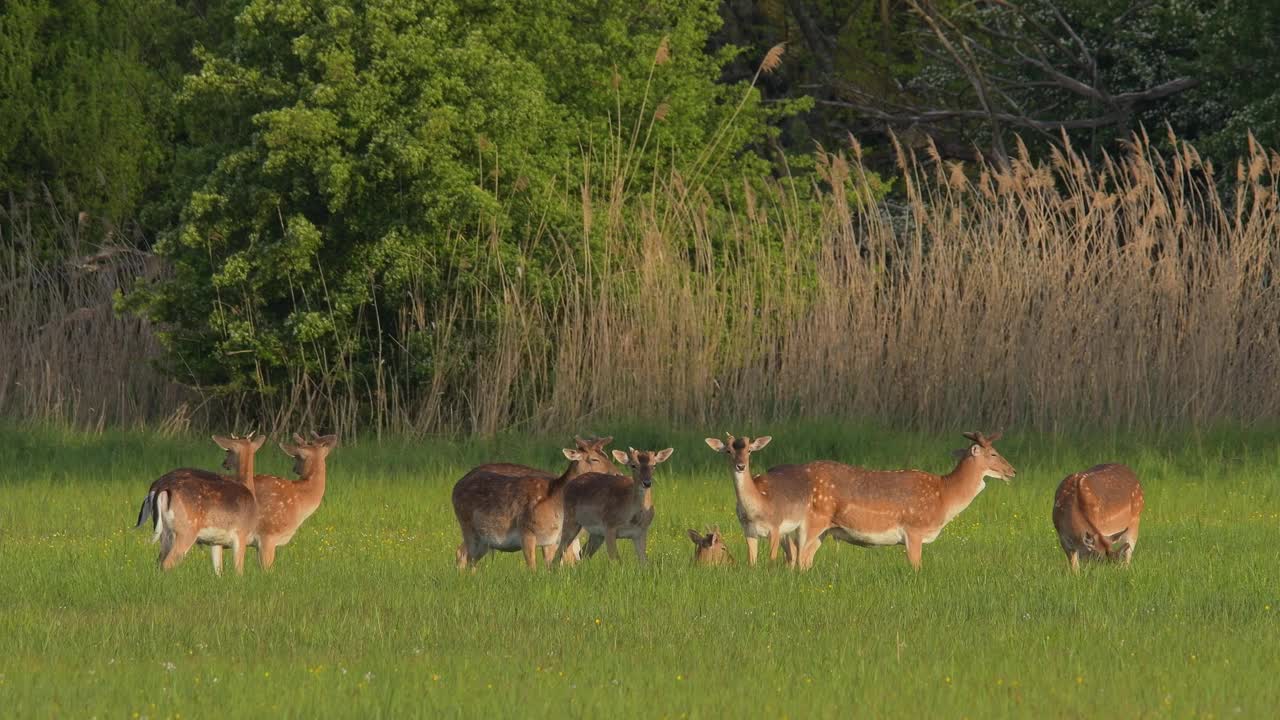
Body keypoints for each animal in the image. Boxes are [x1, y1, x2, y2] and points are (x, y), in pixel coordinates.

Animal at [133, 430, 264, 571]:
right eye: (228, 450)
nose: (224, 463)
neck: (250, 492)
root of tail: (159, 488)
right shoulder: (241, 534)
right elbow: (238, 571)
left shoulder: (216, 542)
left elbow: (218, 570)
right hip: (185, 530)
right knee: (167, 563)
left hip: (166, 532)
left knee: (158, 562)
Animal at [453, 435, 622, 568]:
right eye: (594, 459)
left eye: (607, 456)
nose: (618, 474)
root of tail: (455, 487)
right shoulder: (526, 531)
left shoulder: (553, 540)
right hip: (467, 525)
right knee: (464, 554)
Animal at [701, 430, 808, 566]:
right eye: (728, 451)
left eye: (749, 450)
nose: (741, 466)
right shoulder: (748, 530)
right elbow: (751, 561)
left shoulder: (775, 526)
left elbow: (771, 559)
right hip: (787, 531)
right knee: (793, 551)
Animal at [793, 427, 1013, 568]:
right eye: (993, 454)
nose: (1012, 470)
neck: (945, 496)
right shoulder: (914, 528)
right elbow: (916, 567)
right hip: (814, 520)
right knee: (799, 557)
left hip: (824, 528)